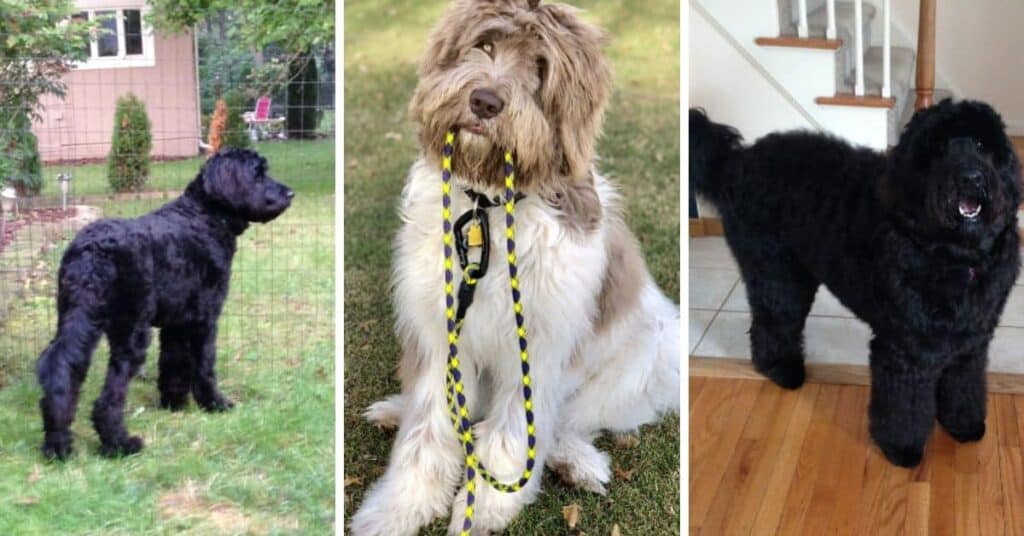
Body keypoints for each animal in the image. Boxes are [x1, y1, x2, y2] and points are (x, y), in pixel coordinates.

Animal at [36, 148, 292, 459]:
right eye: (258, 173)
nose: (289, 193)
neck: (205, 216)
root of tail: (93, 250)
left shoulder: (177, 321)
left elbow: (173, 362)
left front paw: (174, 403)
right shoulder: (204, 319)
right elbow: (204, 366)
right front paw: (215, 404)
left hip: (76, 319)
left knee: (60, 368)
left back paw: (57, 445)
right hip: (130, 332)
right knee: (110, 395)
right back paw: (119, 443)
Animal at [352, 2, 679, 532]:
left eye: (541, 70)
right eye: (484, 45)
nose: (485, 101)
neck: (487, 206)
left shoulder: (541, 347)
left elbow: (512, 436)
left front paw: (483, 508)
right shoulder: (438, 333)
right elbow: (426, 430)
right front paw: (397, 507)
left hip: (647, 355)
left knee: (570, 421)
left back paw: (577, 463)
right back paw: (392, 411)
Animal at [692, 98, 1019, 467]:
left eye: (980, 144)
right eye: (938, 148)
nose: (970, 178)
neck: (956, 257)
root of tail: (736, 161)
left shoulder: (972, 342)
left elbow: (965, 385)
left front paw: (963, 425)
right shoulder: (904, 349)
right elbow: (904, 406)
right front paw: (901, 449)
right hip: (776, 273)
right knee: (773, 324)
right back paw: (782, 369)